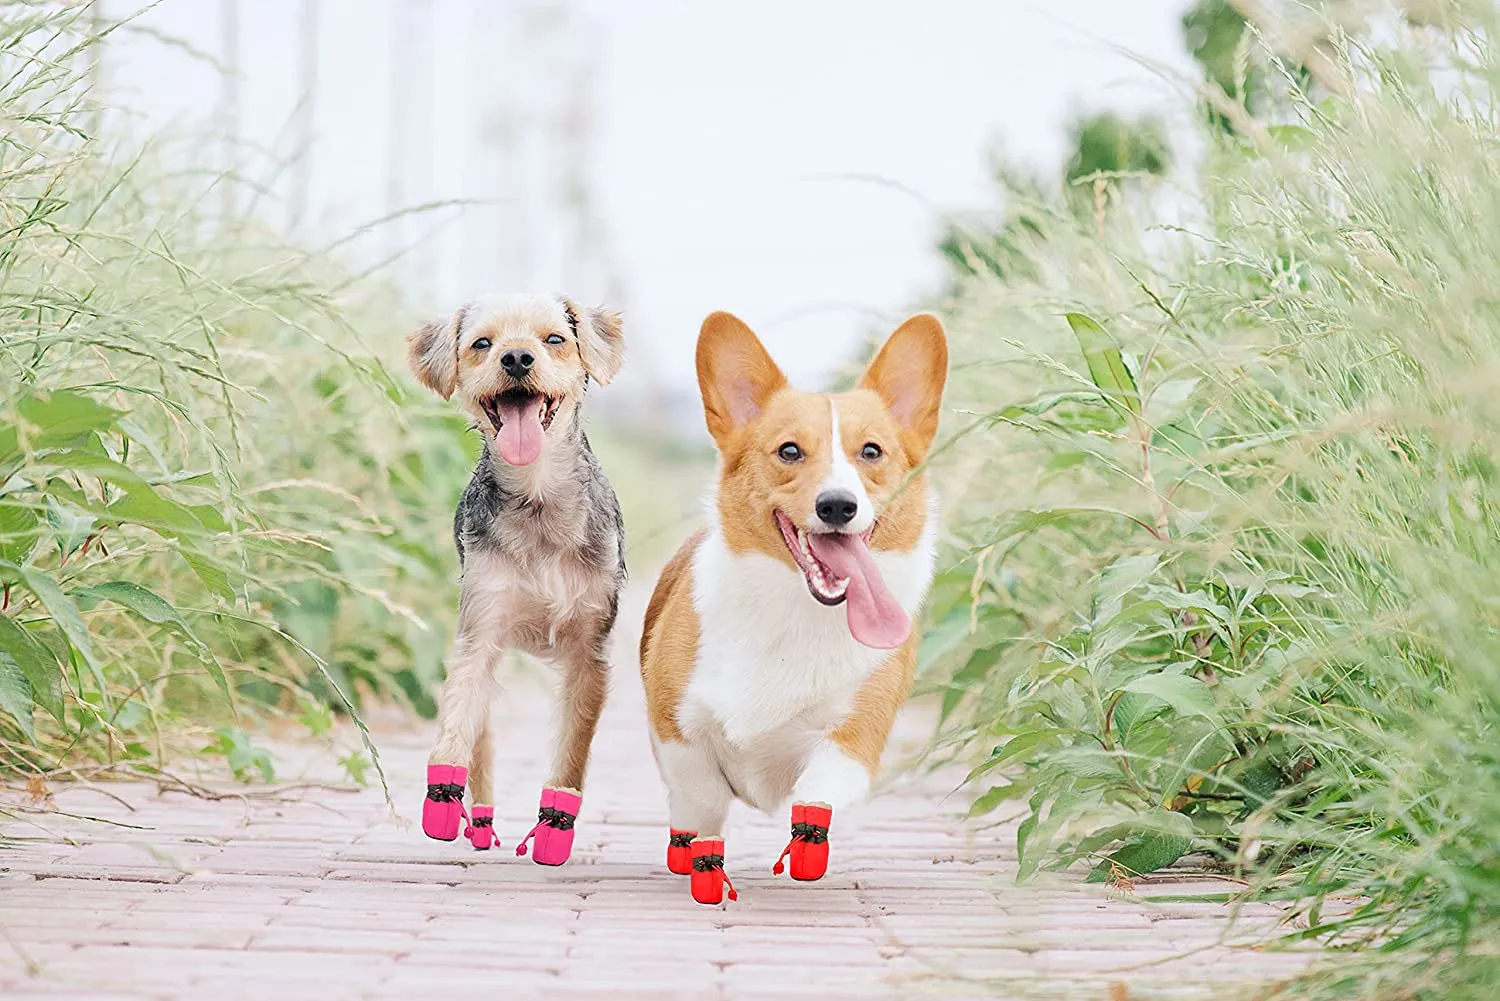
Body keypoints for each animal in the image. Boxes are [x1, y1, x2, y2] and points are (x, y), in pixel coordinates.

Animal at [408, 289, 624, 864]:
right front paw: (442, 793)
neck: (537, 495)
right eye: (482, 344)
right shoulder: (479, 631)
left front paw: (555, 826)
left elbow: (573, 749)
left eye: (555, 339)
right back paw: (478, 820)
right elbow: (458, 719)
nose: (517, 358)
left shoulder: (589, 654)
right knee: (480, 738)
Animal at [636, 309, 942, 906]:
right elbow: (702, 799)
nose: (837, 506)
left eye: (872, 452)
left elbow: (817, 790)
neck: (796, 609)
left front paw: (806, 847)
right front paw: (702, 862)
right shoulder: (677, 731)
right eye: (789, 451)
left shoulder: (855, 737)